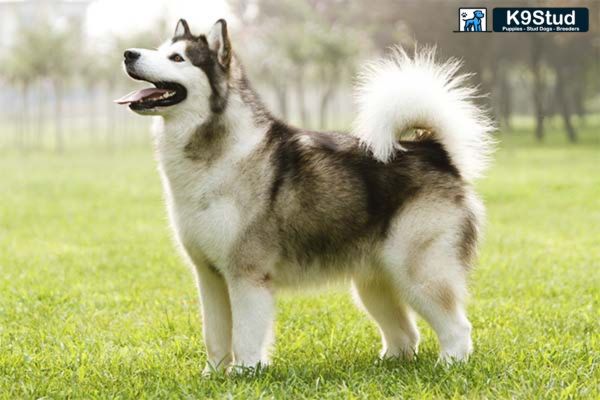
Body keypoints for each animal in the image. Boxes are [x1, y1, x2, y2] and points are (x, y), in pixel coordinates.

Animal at [116, 18, 492, 374]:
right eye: (159, 49)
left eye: (177, 58)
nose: (128, 54)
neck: (213, 152)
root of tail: (433, 151)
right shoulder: (209, 276)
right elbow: (216, 335)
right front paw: (213, 374)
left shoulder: (246, 274)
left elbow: (246, 335)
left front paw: (245, 373)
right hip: (373, 281)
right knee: (406, 335)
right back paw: (388, 364)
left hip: (418, 272)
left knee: (458, 327)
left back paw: (449, 365)